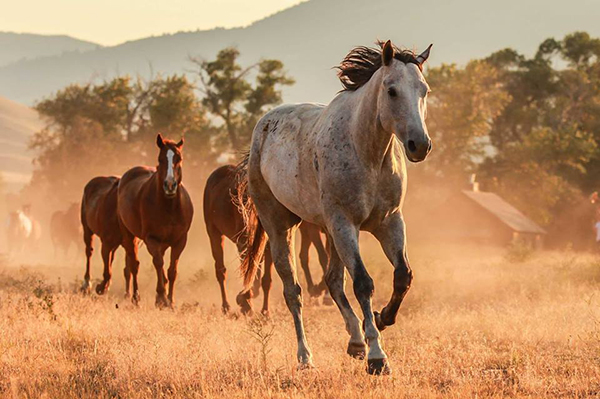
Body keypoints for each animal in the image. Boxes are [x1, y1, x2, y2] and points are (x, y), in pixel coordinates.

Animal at [116, 135, 192, 310]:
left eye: (179, 158)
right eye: (160, 159)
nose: (170, 185)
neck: (169, 207)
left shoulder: (180, 240)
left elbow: (172, 270)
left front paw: (170, 301)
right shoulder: (152, 239)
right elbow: (158, 264)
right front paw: (162, 298)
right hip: (129, 236)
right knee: (134, 265)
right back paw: (136, 298)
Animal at [203, 166, 328, 316]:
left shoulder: (268, 246)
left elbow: (266, 280)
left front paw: (264, 310)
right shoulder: (243, 243)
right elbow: (248, 274)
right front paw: (246, 301)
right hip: (214, 233)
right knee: (221, 270)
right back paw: (226, 306)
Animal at [238, 40, 432, 376]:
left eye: (424, 90)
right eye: (392, 90)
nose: (419, 145)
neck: (366, 152)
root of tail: (262, 128)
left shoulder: (389, 223)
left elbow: (403, 276)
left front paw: (382, 319)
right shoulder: (345, 224)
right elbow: (363, 284)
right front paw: (377, 356)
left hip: (329, 230)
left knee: (332, 280)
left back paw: (355, 341)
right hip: (281, 226)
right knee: (294, 291)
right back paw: (305, 357)